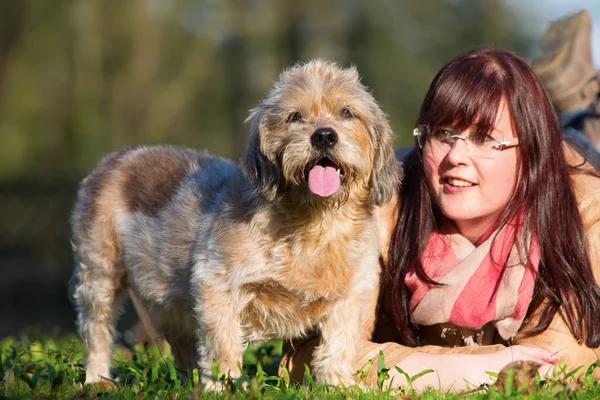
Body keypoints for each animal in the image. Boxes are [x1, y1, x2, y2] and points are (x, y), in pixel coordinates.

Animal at [70, 60, 400, 388]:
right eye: (294, 116)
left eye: (347, 112)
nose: (323, 136)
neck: (315, 222)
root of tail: (115, 158)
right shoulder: (216, 284)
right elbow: (222, 344)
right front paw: (224, 386)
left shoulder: (351, 296)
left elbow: (339, 344)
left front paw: (336, 384)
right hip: (100, 275)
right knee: (97, 330)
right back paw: (97, 379)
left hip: (168, 301)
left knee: (181, 344)